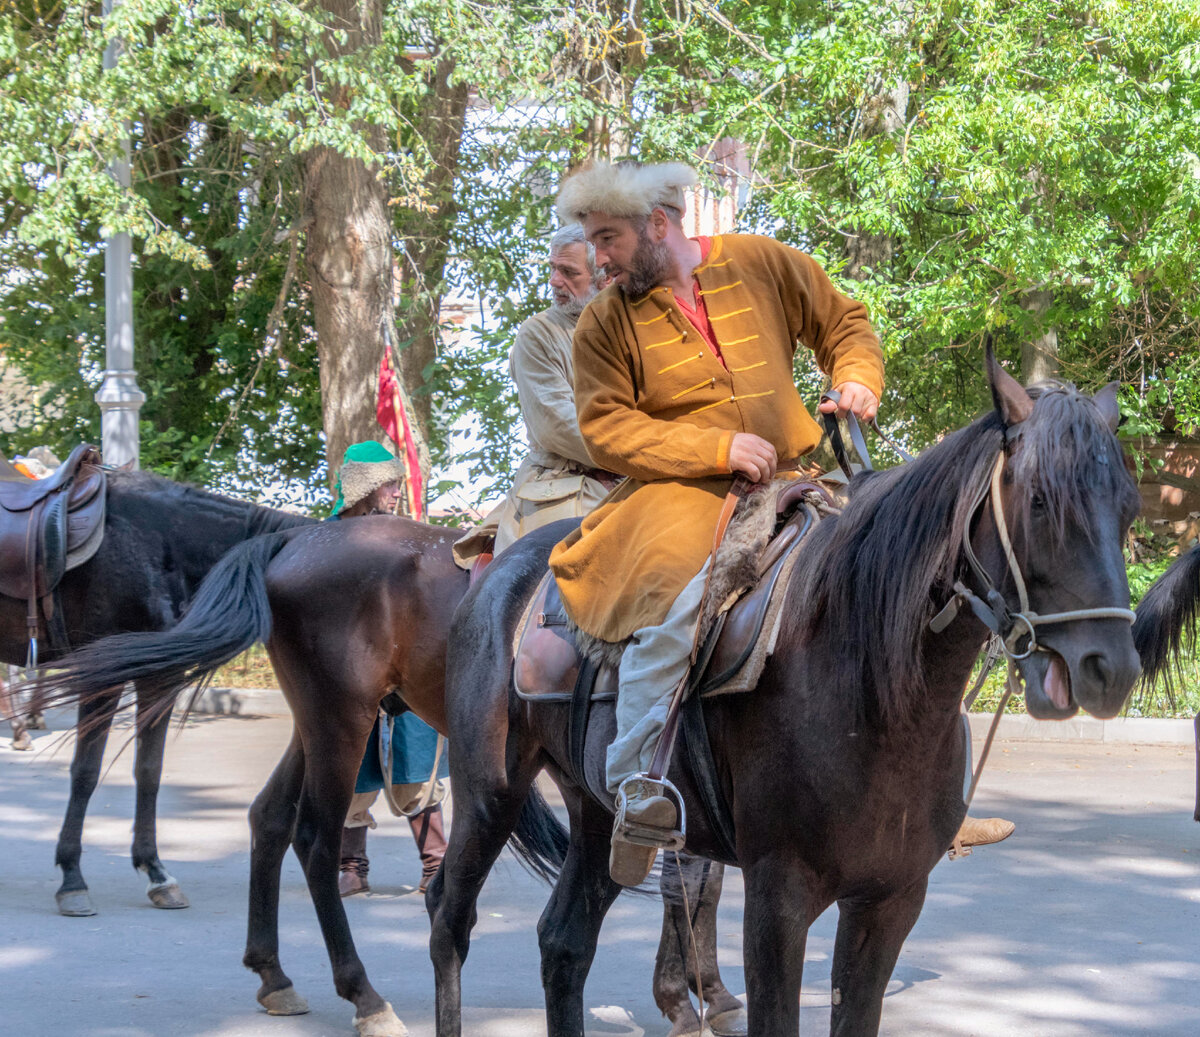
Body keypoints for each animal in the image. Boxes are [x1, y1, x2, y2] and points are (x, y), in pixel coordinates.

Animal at [0, 470, 314, 916]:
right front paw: (72, 878)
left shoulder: (158, 676)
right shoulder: (104, 678)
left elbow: (149, 771)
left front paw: (156, 872)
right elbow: (85, 772)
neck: (164, 541)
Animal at [32, 513, 744, 1037]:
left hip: (318, 721)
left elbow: (699, 879)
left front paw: (704, 993)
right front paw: (689, 998)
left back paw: (274, 975)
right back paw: (364, 995)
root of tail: (297, 537)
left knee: (269, 816)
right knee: (315, 839)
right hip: (342, 719)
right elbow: (692, 882)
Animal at [429, 357, 1142, 1037]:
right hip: (489, 792)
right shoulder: (778, 898)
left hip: (597, 812)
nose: (1111, 667)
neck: (875, 698)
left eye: (1129, 508)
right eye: (1041, 501)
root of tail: (505, 567)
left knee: (564, 943)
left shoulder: (890, 901)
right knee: (448, 917)